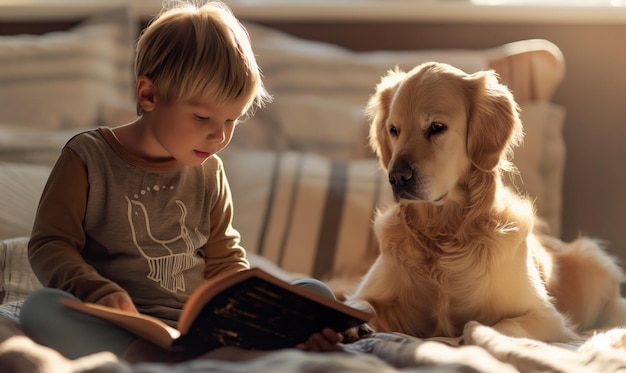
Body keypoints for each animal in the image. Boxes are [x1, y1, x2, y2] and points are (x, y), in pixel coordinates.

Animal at [344, 61, 624, 342]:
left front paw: (472, 336)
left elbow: (501, 325)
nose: (396, 178)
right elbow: (359, 302)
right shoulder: (374, 293)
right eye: (394, 130)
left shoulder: (546, 317)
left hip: (591, 259)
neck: (443, 233)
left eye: (436, 127)